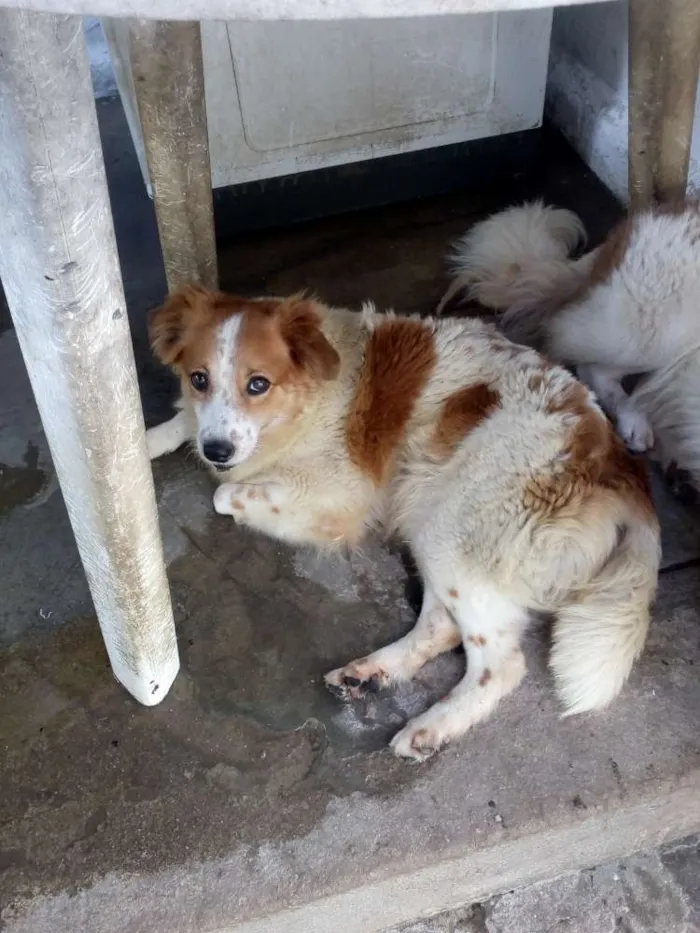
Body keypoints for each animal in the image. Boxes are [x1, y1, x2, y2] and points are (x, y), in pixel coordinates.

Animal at [148, 284, 660, 756]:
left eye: (258, 384)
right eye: (198, 379)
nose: (217, 451)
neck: (308, 398)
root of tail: (615, 460)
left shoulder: (339, 494)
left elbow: (224, 494)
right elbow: (182, 426)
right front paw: (149, 441)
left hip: (449, 525)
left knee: (499, 662)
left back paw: (432, 725)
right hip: (429, 513)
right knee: (441, 625)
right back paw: (370, 673)